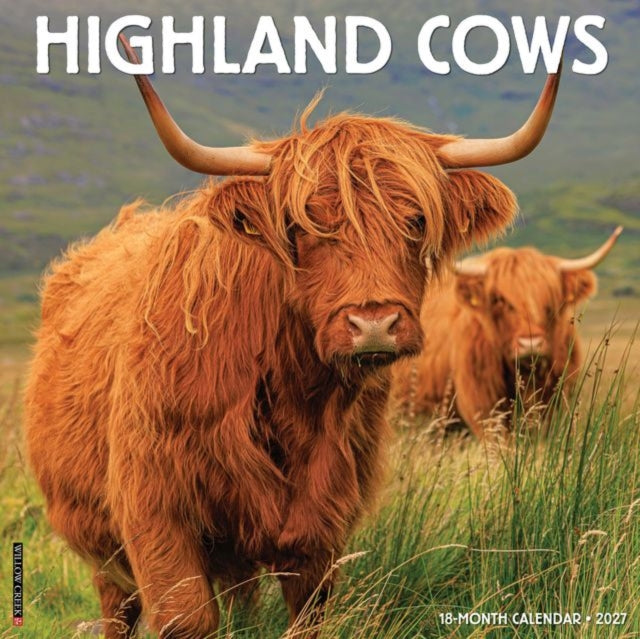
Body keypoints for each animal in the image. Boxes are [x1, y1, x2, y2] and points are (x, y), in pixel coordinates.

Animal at [23, 35, 561, 638]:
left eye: (416, 220)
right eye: (302, 226)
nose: (373, 323)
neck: (291, 391)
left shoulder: (323, 519)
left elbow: (305, 613)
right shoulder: (154, 507)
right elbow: (187, 617)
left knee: (241, 596)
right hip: (100, 542)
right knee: (119, 606)